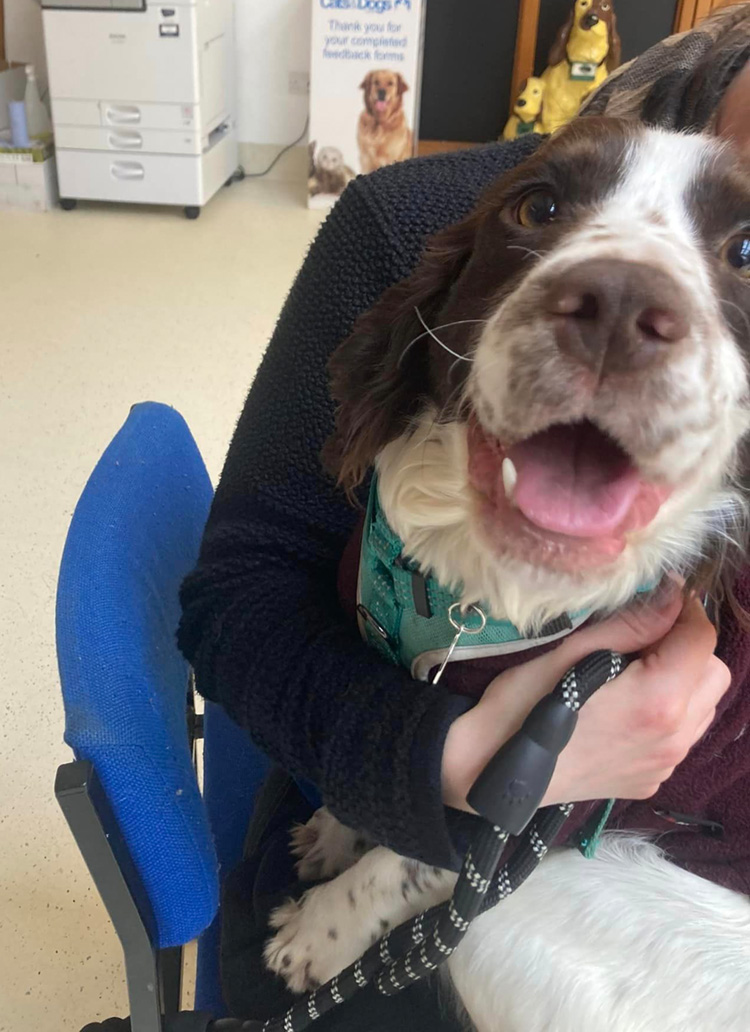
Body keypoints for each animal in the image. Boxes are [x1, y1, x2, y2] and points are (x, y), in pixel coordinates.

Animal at [266, 117, 750, 1027]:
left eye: (748, 249)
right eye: (538, 206)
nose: (620, 306)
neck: (475, 588)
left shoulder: (549, 792)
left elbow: (404, 863)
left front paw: (318, 932)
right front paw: (334, 834)